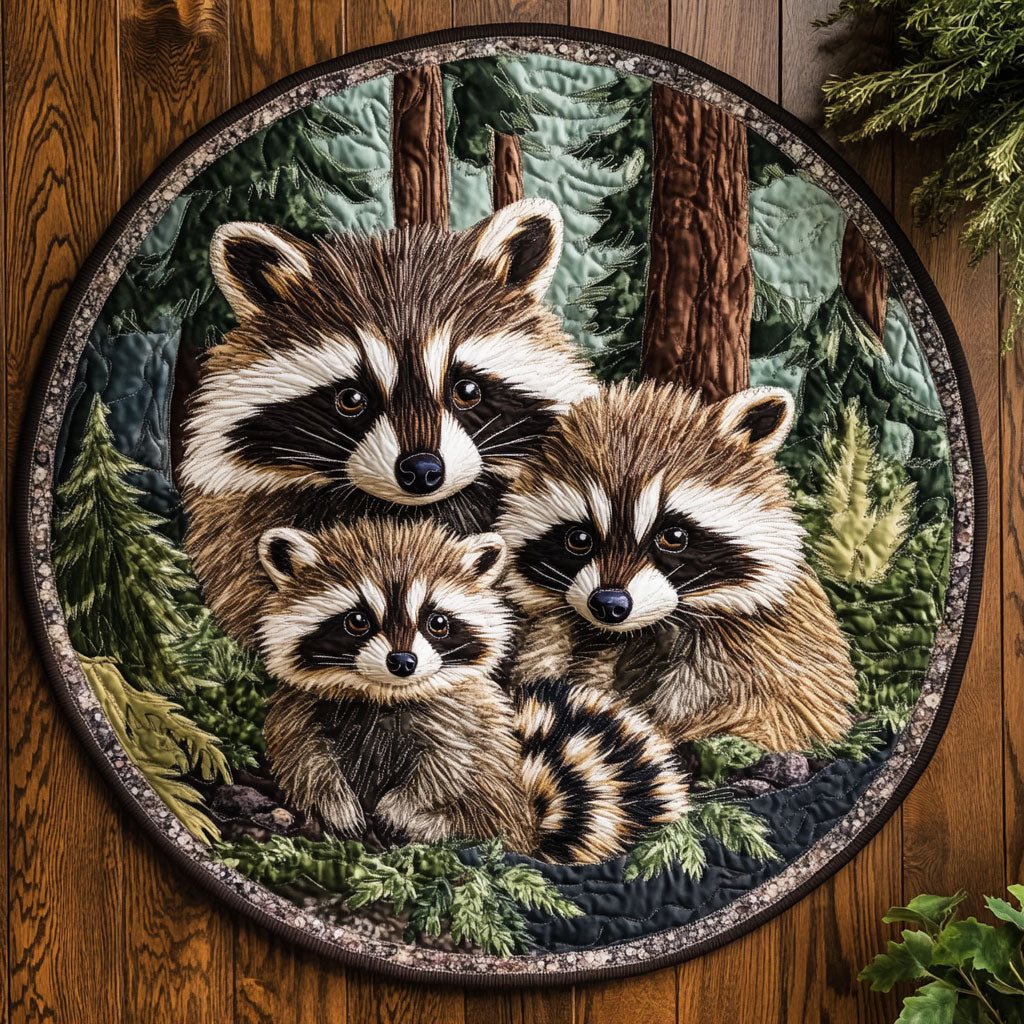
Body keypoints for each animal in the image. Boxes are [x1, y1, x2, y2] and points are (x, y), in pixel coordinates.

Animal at [255, 518, 537, 852]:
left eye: (438, 623)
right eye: (357, 621)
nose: (403, 661)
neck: (386, 695)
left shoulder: (462, 715)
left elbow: (451, 764)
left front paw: (402, 806)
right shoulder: (300, 710)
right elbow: (303, 758)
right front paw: (334, 802)